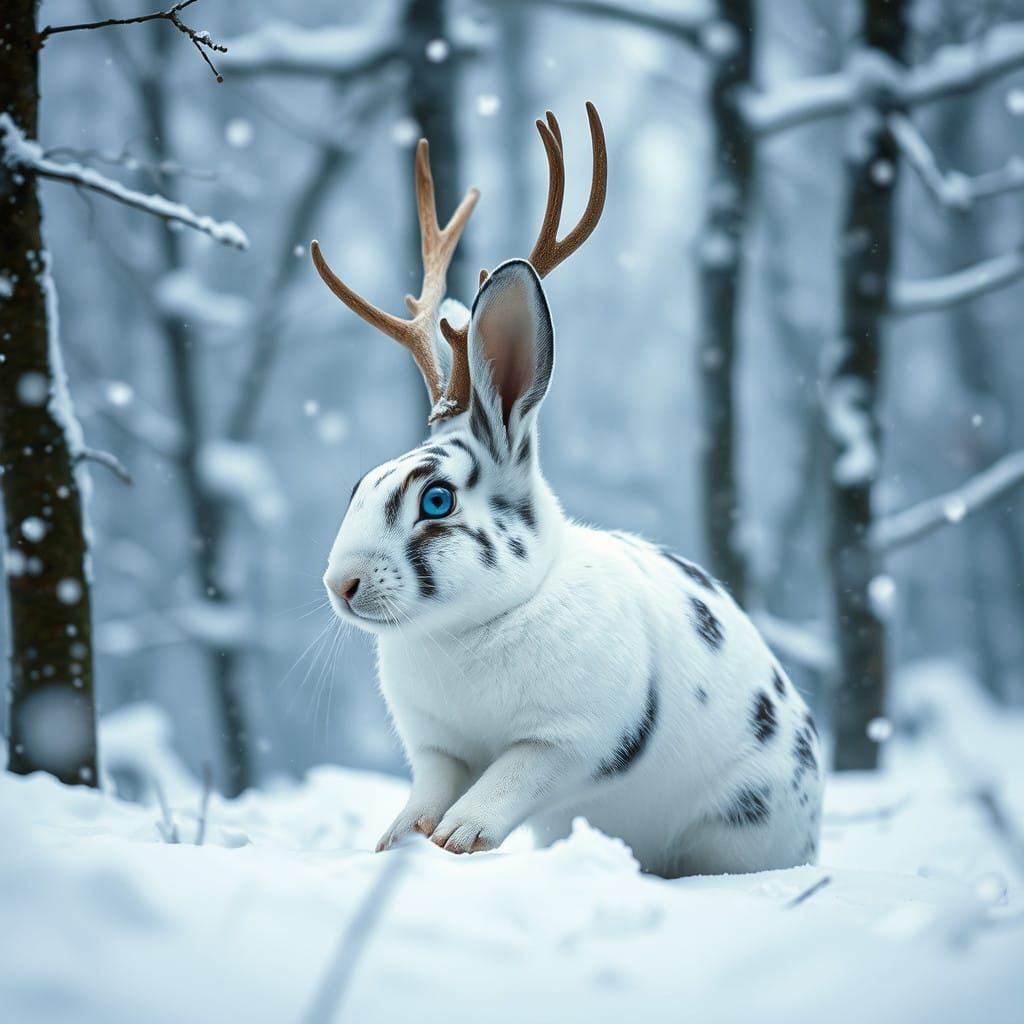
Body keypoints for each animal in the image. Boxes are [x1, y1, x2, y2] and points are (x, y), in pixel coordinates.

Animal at [315, 105, 823, 877]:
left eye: (436, 500)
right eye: (359, 485)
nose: (338, 584)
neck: (470, 628)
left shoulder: (572, 740)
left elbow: (511, 777)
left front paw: (457, 841)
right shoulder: (437, 748)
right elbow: (429, 787)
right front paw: (397, 840)